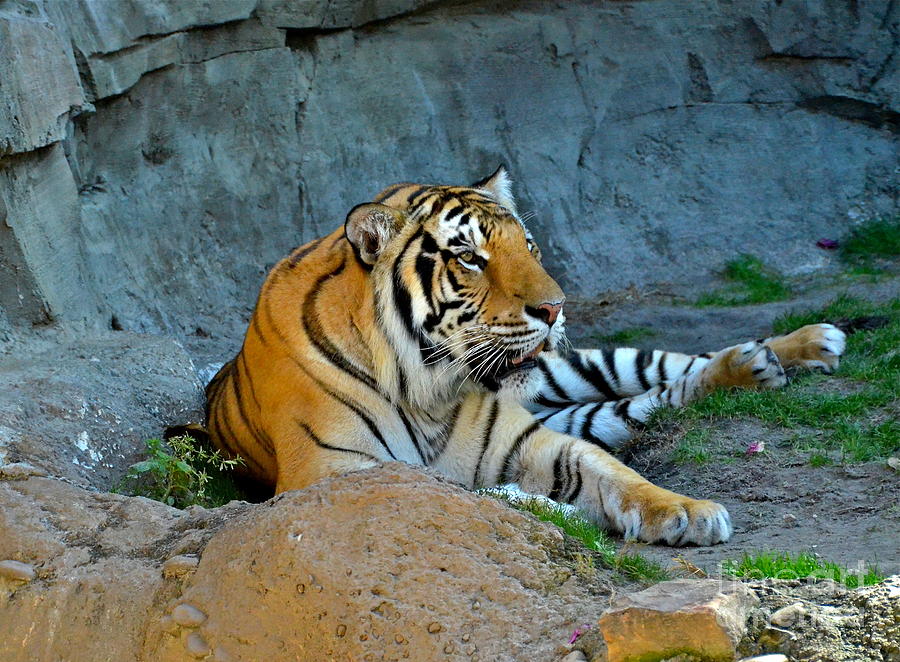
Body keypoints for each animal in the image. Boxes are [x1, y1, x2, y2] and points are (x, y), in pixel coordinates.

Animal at [207, 169, 848, 548]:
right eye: (469, 257)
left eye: (530, 246)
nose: (555, 307)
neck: (425, 389)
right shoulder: (331, 474)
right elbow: (458, 490)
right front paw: (535, 503)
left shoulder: (530, 440)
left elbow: (619, 474)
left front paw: (689, 511)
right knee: (650, 404)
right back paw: (764, 362)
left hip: (580, 367)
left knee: (667, 370)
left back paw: (801, 346)